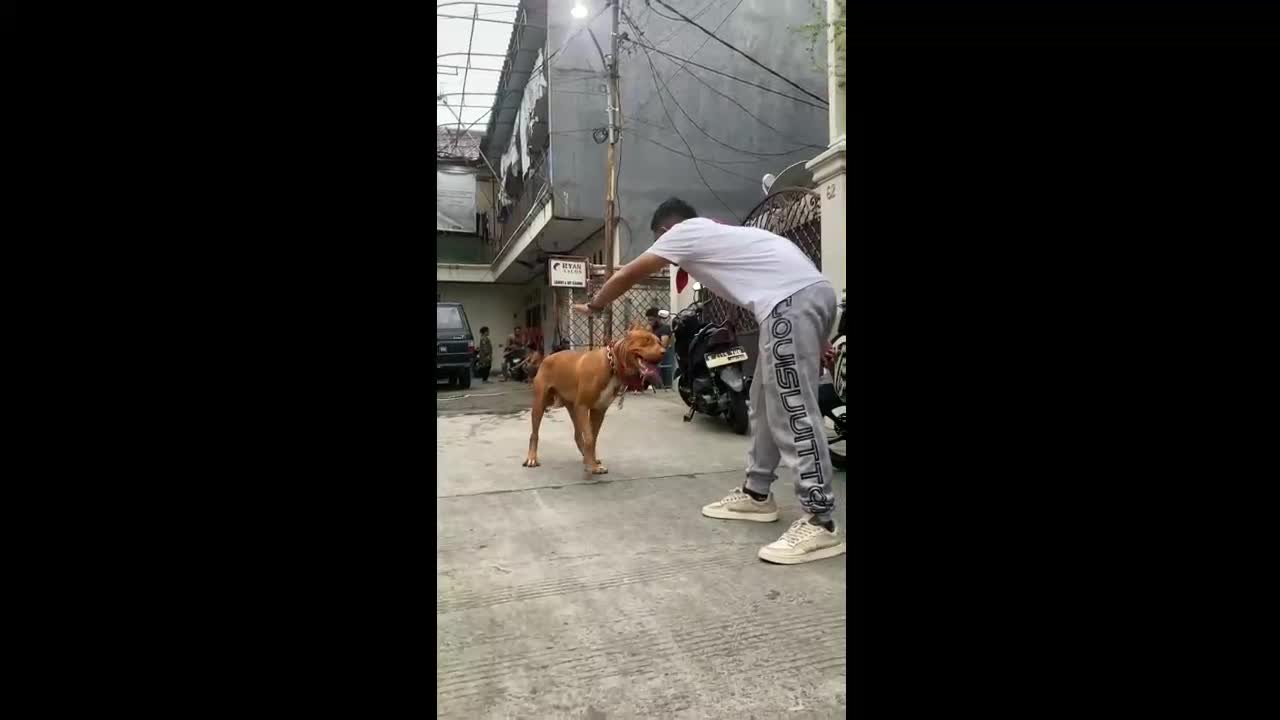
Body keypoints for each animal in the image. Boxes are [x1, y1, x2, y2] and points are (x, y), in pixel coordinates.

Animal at [519, 325, 665, 471]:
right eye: (646, 340)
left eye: (659, 342)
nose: (664, 351)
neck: (612, 364)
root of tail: (546, 358)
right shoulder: (583, 406)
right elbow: (589, 437)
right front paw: (592, 466)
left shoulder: (598, 410)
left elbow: (593, 438)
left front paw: (591, 461)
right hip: (540, 404)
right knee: (534, 433)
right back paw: (532, 458)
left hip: (573, 409)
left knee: (578, 435)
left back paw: (584, 455)